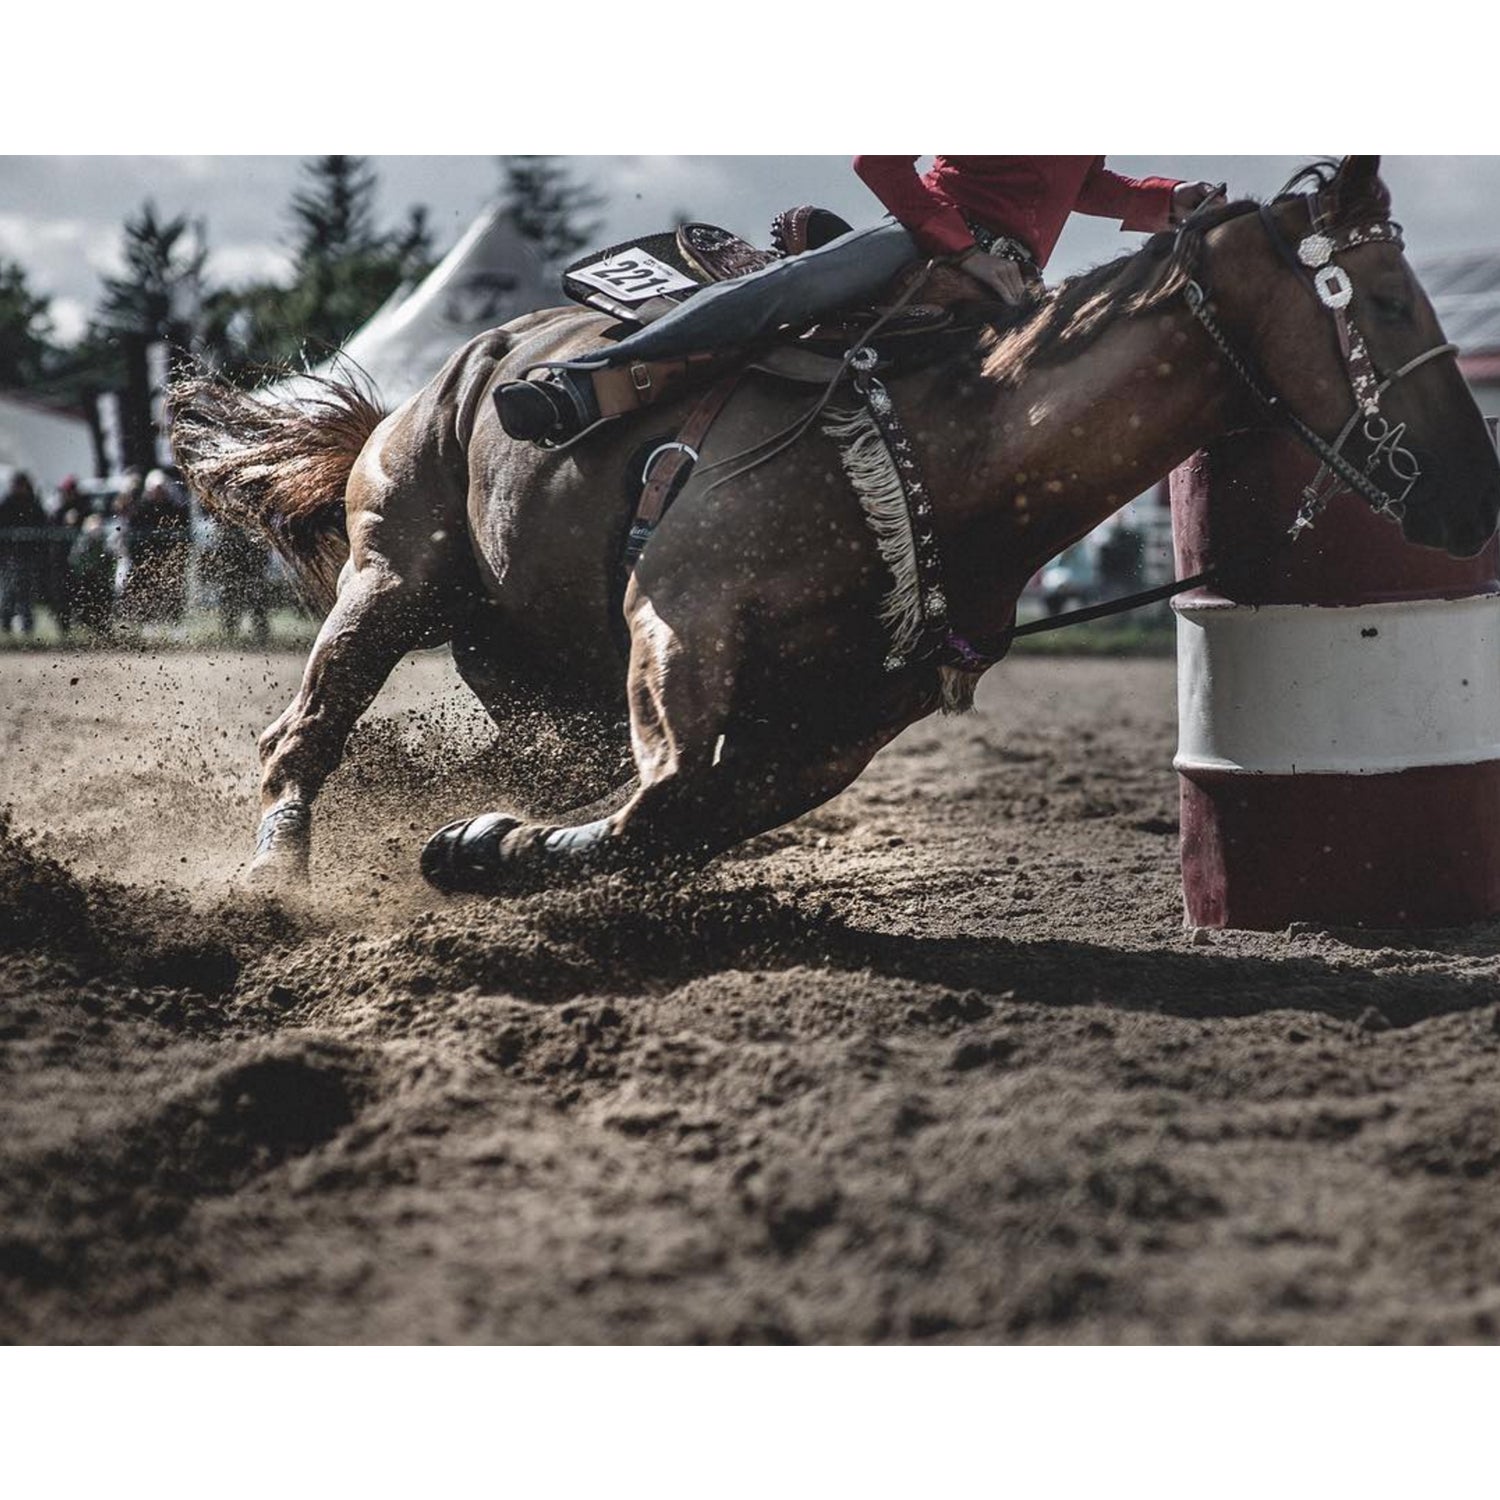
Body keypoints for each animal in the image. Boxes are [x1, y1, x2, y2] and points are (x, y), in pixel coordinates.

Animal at [170, 155, 1500, 888]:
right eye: (1387, 299)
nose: (1475, 497)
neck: (955, 450)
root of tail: (443, 378)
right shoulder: (682, 613)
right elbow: (667, 798)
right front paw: (474, 850)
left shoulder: (840, 727)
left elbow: (677, 819)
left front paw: (490, 842)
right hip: (395, 577)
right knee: (298, 734)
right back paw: (273, 875)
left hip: (526, 658)